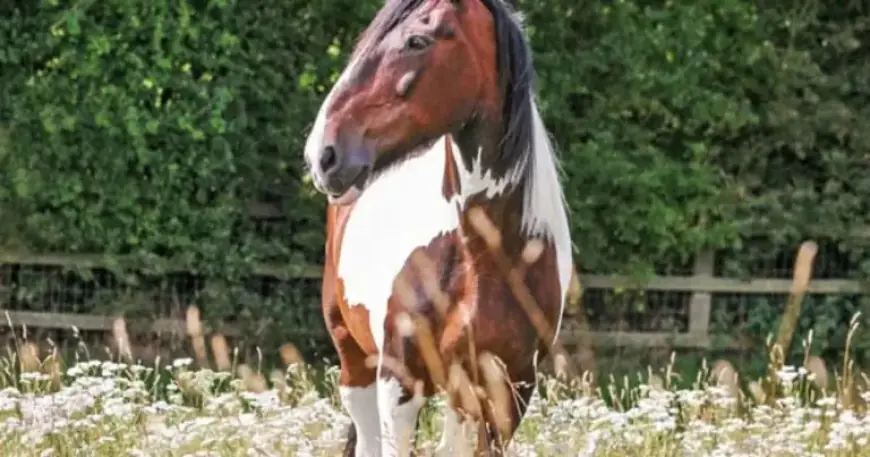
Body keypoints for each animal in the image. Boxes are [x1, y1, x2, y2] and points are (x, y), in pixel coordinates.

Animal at [302, 0, 573, 455]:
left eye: (417, 41)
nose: (323, 153)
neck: (481, 257)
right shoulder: (399, 380)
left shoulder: (508, 388)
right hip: (355, 362)